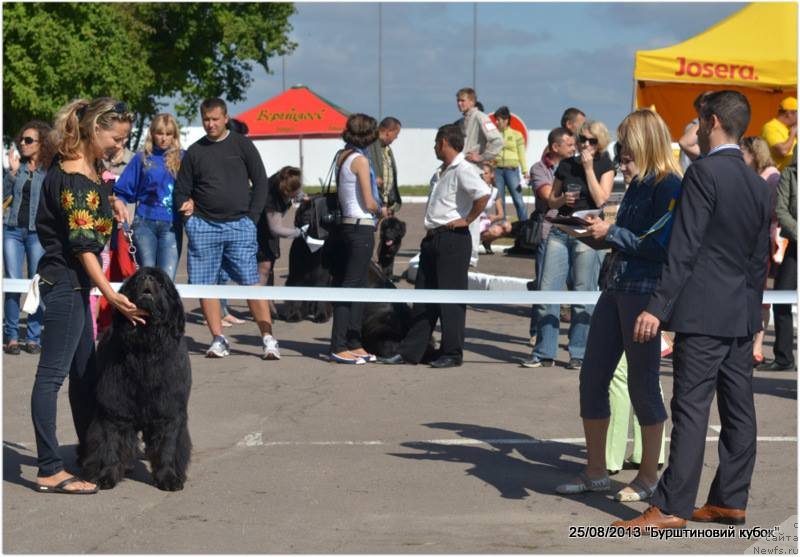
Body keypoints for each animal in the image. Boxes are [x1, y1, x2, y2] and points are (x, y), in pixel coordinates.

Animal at [81, 268, 192, 488]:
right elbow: (111, 443)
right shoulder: (115, 408)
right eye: (137, 279)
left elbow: (168, 446)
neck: (145, 347)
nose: (147, 278)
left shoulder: (169, 410)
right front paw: (107, 475)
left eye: (161, 283)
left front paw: (168, 478)